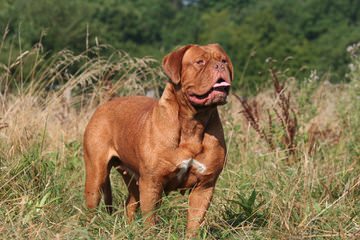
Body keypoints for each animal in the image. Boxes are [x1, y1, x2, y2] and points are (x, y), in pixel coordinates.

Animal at [83, 43, 232, 236]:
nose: (220, 66)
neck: (193, 123)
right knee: (92, 204)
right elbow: (151, 220)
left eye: (224, 60)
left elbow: (194, 222)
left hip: (132, 178)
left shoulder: (204, 186)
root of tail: (103, 106)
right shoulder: (152, 183)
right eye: (200, 62)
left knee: (130, 203)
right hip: (96, 174)